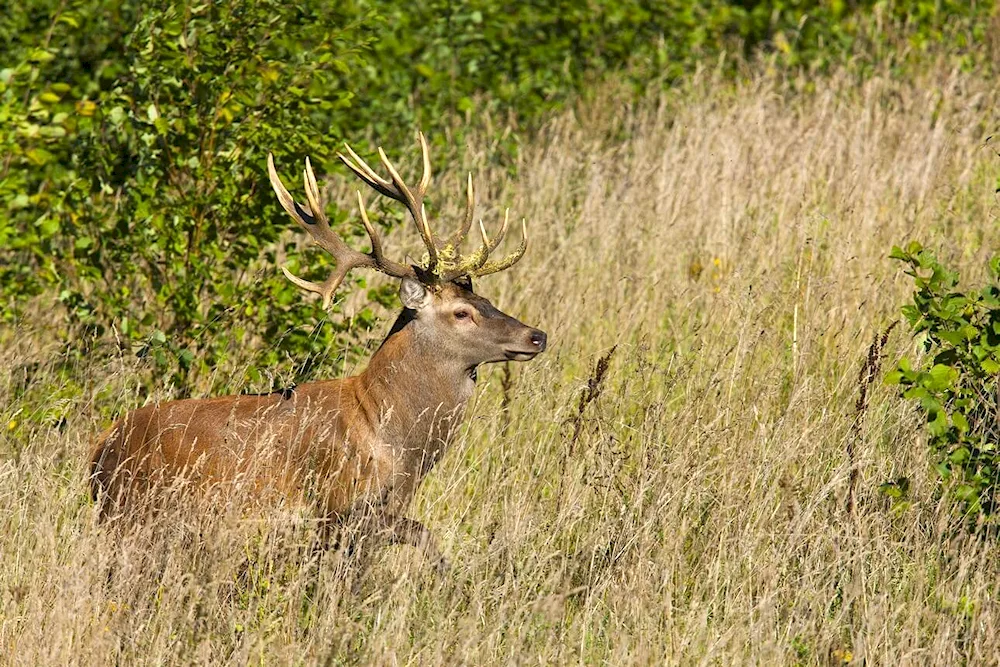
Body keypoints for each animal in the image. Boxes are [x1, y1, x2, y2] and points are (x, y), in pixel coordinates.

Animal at [90, 134, 548, 568]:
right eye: (461, 313)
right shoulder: (338, 506)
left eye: (486, 300)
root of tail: (99, 450)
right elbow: (415, 539)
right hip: (137, 513)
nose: (537, 336)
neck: (394, 437)